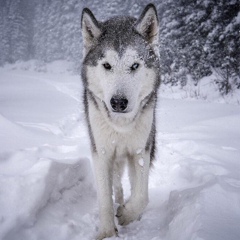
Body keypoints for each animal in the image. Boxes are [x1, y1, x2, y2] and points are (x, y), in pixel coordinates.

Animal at [81, 3, 160, 240]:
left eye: (134, 66)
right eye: (107, 65)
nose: (118, 102)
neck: (121, 126)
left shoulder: (141, 151)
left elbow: (142, 196)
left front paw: (127, 215)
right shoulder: (102, 153)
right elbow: (105, 199)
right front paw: (107, 232)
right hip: (114, 159)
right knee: (117, 185)